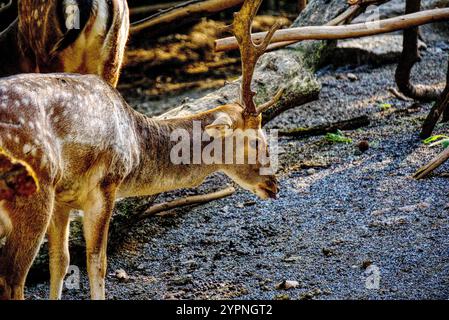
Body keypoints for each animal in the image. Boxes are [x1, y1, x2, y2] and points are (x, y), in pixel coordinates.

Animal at [0, 0, 280, 300]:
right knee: (12, 279)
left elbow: (60, 262)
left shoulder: (62, 198)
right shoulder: (105, 184)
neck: (136, 145)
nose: (273, 184)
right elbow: (97, 262)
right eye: (256, 141)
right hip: (34, 190)